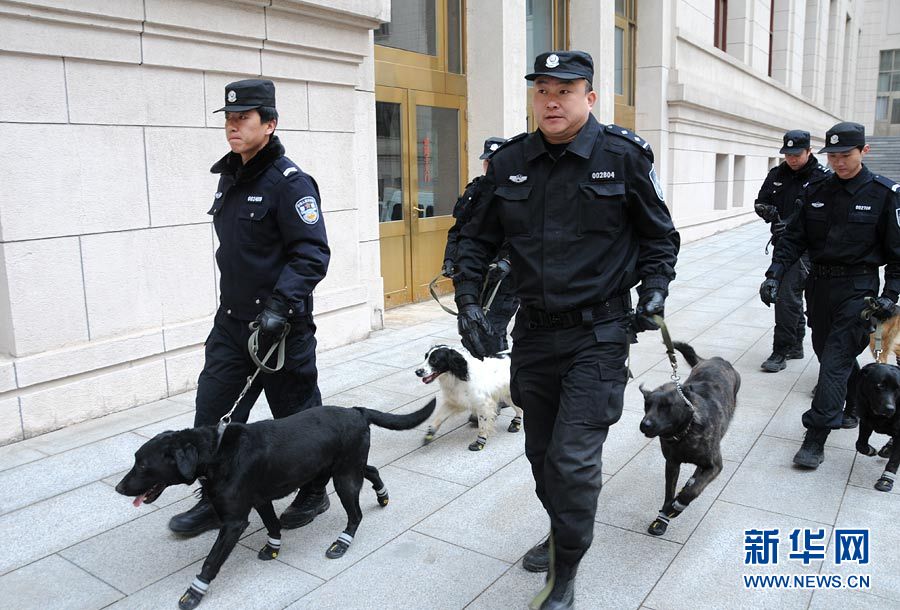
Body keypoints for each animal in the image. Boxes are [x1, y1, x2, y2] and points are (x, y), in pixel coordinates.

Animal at [114, 400, 438, 608]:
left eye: (142, 465)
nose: (118, 488)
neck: (216, 452)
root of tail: (356, 411)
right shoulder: (261, 500)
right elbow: (272, 526)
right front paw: (273, 548)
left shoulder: (234, 522)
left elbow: (211, 560)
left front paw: (194, 593)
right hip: (342, 468)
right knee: (371, 470)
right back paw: (382, 494)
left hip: (344, 478)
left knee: (356, 515)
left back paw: (342, 543)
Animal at [640, 340, 740, 536]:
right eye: (647, 405)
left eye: (666, 406)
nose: (644, 425)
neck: (684, 433)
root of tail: (716, 359)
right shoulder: (671, 464)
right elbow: (668, 494)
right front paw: (662, 519)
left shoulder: (715, 466)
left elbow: (692, 492)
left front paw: (677, 506)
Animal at [856, 360, 896, 490]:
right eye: (880, 385)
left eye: (898, 389)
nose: (890, 409)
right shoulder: (865, 421)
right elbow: (860, 444)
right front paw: (869, 450)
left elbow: (894, 461)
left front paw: (886, 480)